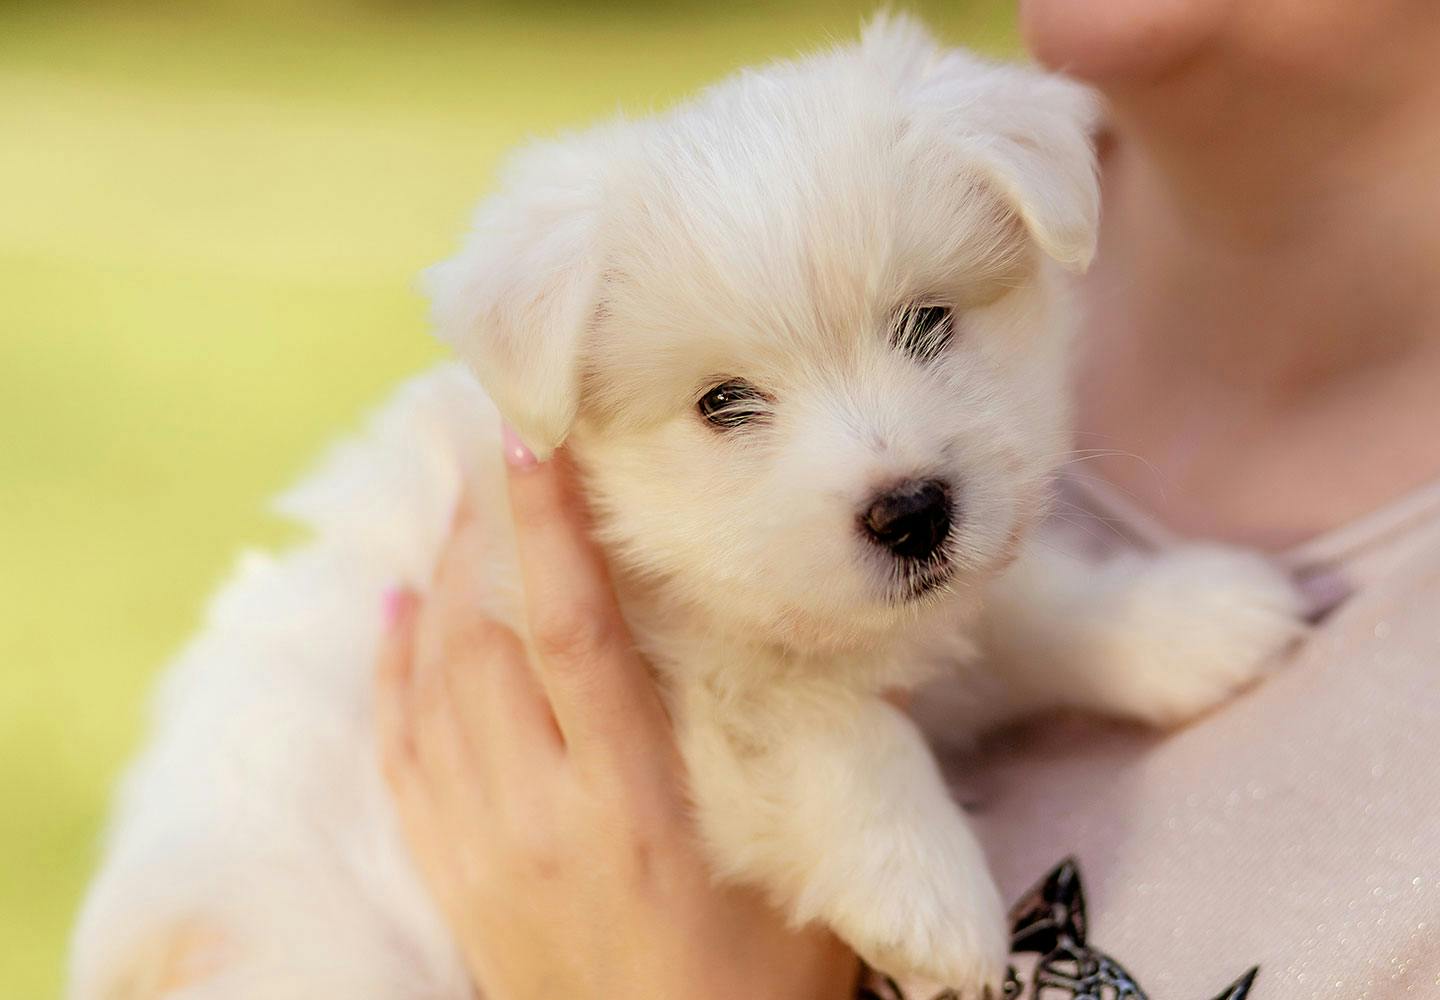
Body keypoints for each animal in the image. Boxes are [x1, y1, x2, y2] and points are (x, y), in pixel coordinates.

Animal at [70, 17, 1307, 1000]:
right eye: (724, 403)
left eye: (927, 322)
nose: (913, 513)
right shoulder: (672, 678)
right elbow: (823, 714)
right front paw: (932, 893)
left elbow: (1031, 601)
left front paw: (1192, 620)